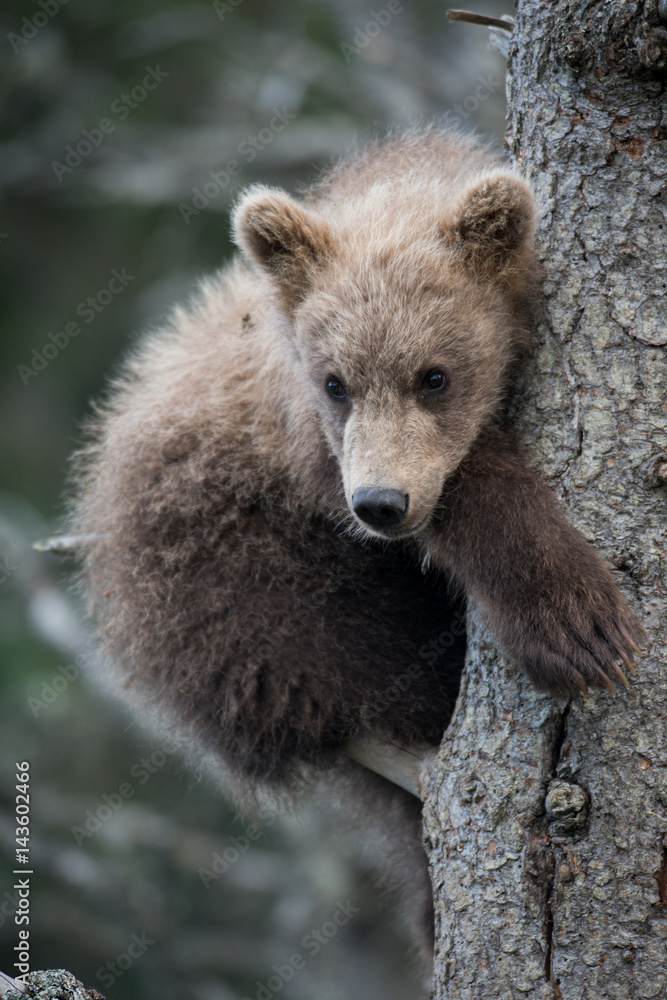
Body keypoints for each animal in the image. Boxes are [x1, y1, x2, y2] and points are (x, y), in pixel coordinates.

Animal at [70, 127, 640, 965]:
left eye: (434, 375)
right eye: (335, 382)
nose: (380, 503)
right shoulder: (306, 446)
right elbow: (468, 486)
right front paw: (575, 623)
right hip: (239, 595)